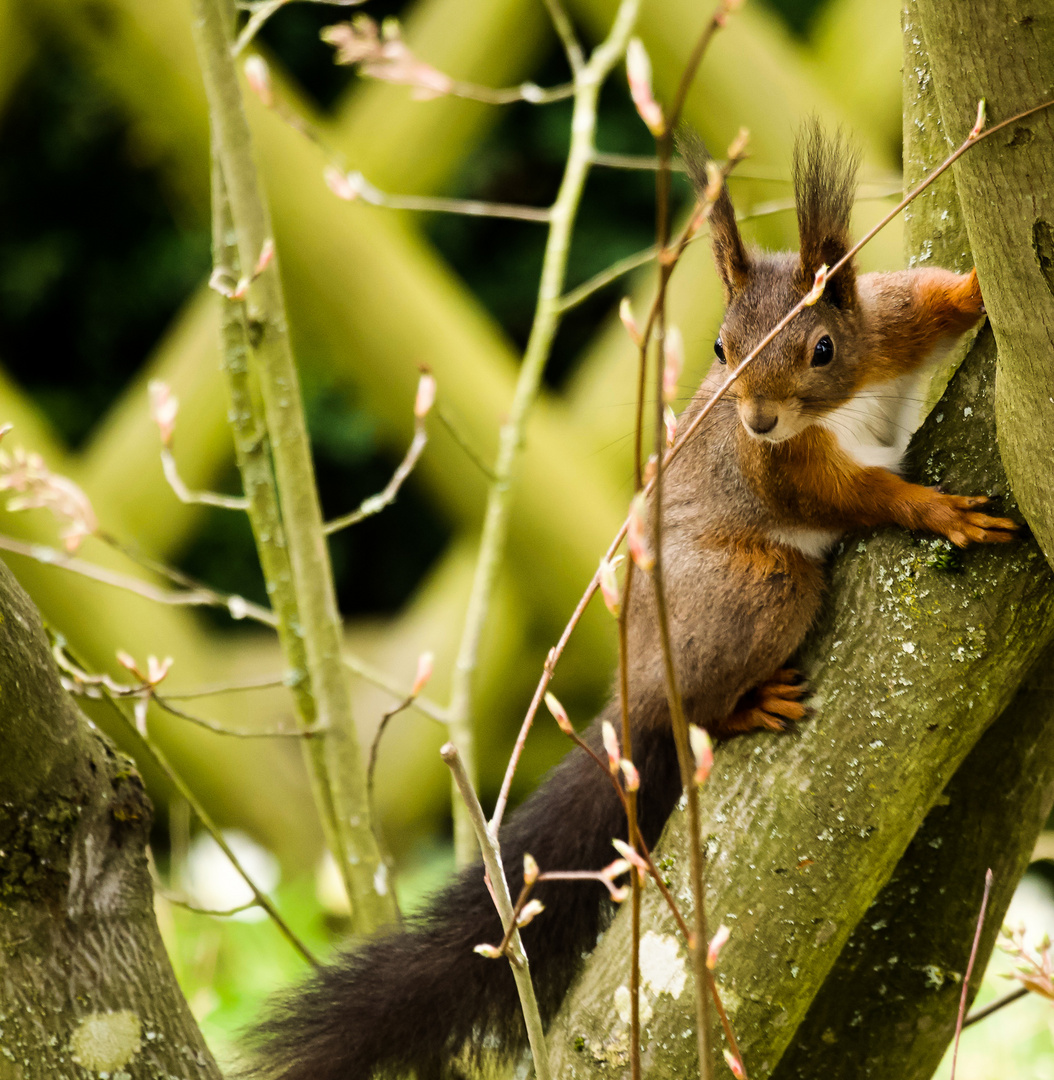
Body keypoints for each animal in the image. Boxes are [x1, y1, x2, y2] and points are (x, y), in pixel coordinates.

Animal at [251, 126, 1015, 1080]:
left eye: (821, 348)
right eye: (720, 349)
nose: (755, 419)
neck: (845, 400)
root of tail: (635, 684)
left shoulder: (890, 320)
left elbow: (938, 297)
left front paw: (985, 284)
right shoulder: (786, 473)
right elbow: (852, 495)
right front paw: (935, 512)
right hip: (755, 591)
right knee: (712, 683)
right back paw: (740, 706)